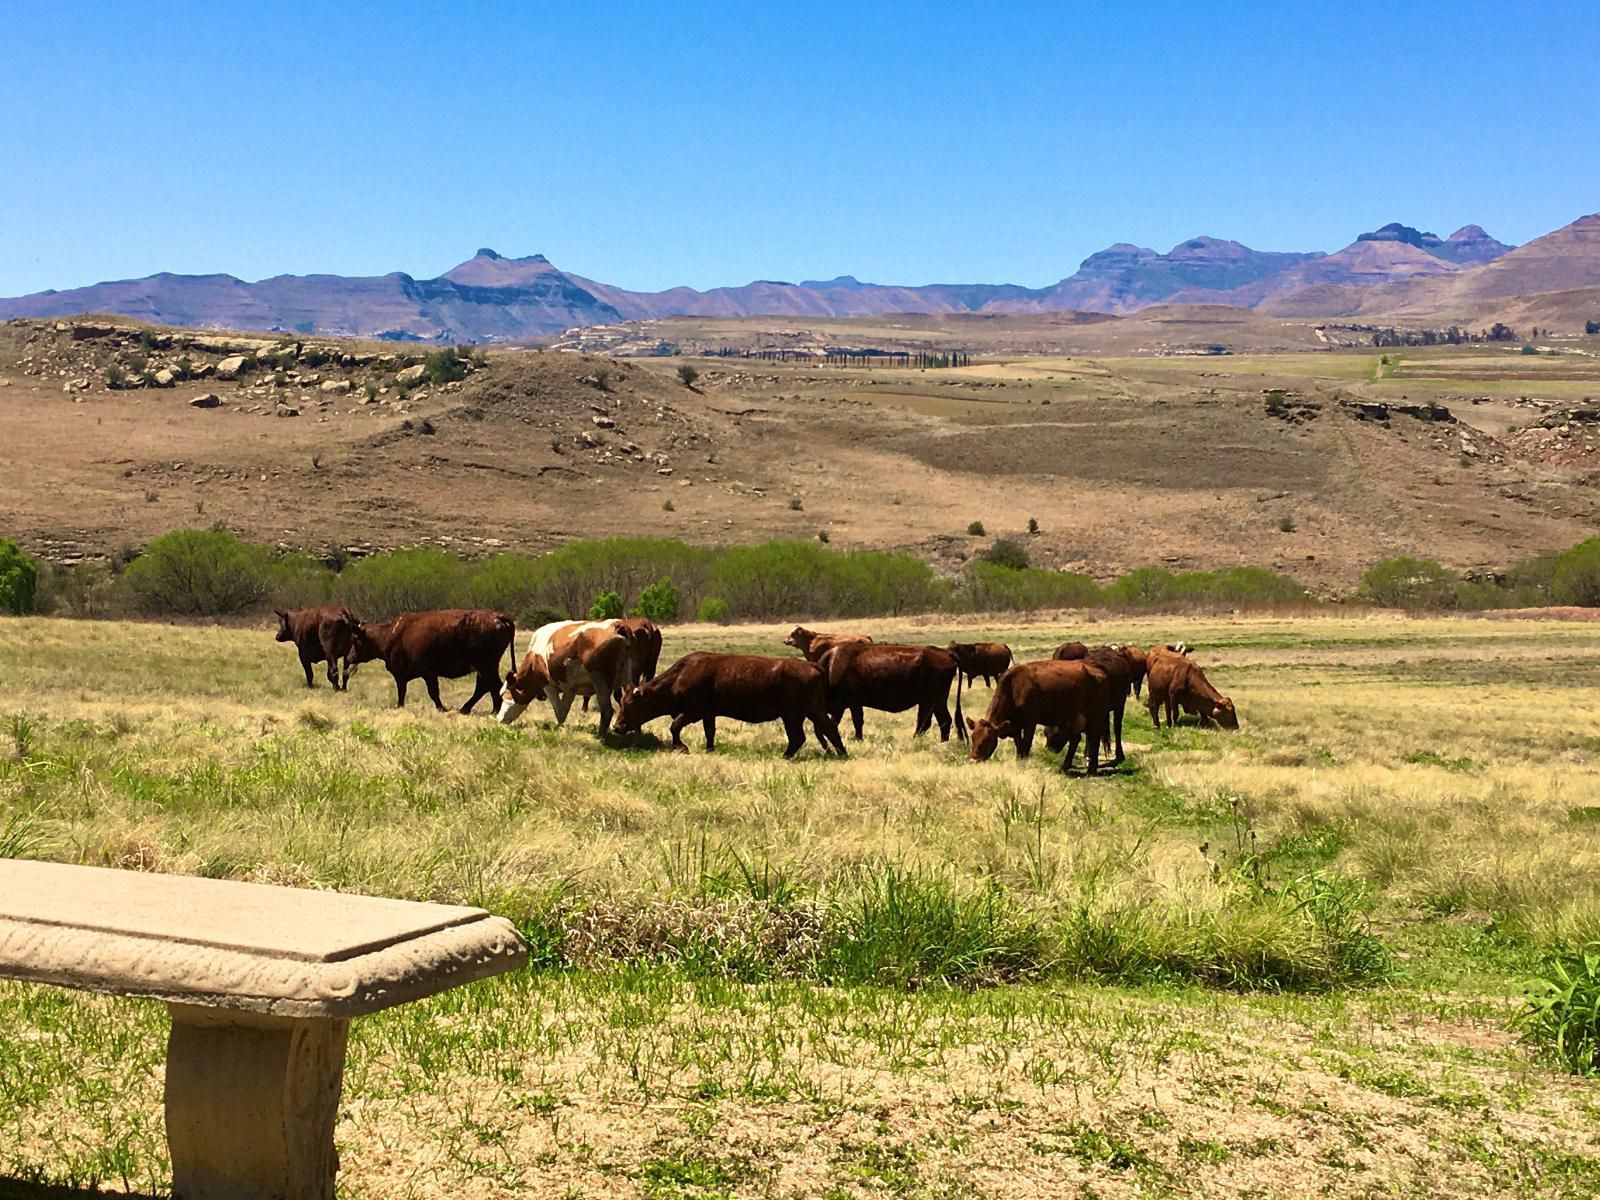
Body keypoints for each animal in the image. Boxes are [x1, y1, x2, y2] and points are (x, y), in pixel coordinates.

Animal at [348, 611, 512, 713]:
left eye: (355, 639)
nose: (349, 657)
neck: (389, 634)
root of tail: (498, 617)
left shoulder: (423, 674)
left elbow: (427, 692)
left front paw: (441, 708)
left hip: (485, 666)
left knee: (491, 686)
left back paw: (486, 710)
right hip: (485, 668)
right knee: (486, 687)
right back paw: (481, 710)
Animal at [496, 624, 633, 739]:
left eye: (505, 697)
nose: (499, 718)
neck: (535, 657)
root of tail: (617, 626)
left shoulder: (549, 686)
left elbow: (559, 710)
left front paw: (559, 729)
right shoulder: (569, 689)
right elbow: (564, 709)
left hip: (600, 682)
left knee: (607, 711)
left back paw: (600, 737)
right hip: (629, 680)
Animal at [611, 652, 851, 755]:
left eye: (631, 704)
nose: (617, 726)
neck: (679, 675)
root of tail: (812, 666)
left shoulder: (693, 712)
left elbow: (674, 726)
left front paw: (682, 747)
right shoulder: (709, 713)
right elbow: (710, 732)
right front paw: (709, 750)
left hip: (792, 715)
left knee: (799, 737)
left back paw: (786, 756)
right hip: (812, 711)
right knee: (829, 729)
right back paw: (841, 754)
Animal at [812, 649, 960, 742]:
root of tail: (947, 653)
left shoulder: (850, 704)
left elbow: (855, 721)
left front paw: (857, 739)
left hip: (934, 700)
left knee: (938, 721)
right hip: (931, 702)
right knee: (933, 721)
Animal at [966, 662, 1107, 774]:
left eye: (987, 740)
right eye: (972, 738)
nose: (973, 760)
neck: (1013, 688)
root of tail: (1097, 669)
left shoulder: (1030, 723)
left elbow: (1026, 744)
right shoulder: (1015, 724)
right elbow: (1019, 744)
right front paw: (1018, 760)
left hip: (1095, 716)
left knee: (1094, 738)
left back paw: (1091, 770)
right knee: (1076, 739)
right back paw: (1065, 767)